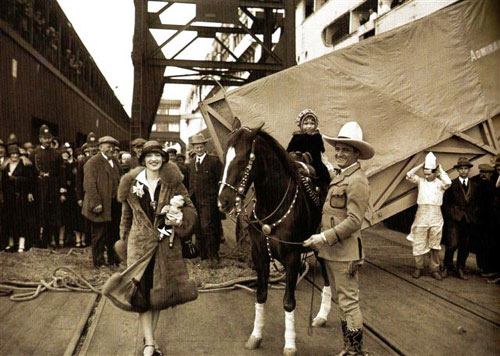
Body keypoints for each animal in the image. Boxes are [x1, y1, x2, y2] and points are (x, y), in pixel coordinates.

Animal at [217, 123, 322, 356]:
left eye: (242, 161)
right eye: (224, 159)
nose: (222, 202)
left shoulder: (292, 257)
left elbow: (288, 302)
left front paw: (290, 345)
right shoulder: (259, 255)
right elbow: (261, 294)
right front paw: (256, 336)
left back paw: (321, 316)